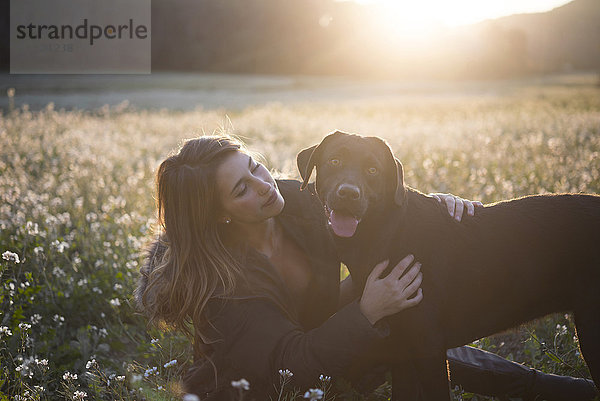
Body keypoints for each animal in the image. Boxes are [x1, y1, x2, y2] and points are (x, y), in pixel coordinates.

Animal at [296, 130, 600, 398]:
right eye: (335, 161)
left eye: (372, 170)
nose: (348, 193)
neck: (383, 233)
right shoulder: (400, 348)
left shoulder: (428, 346)